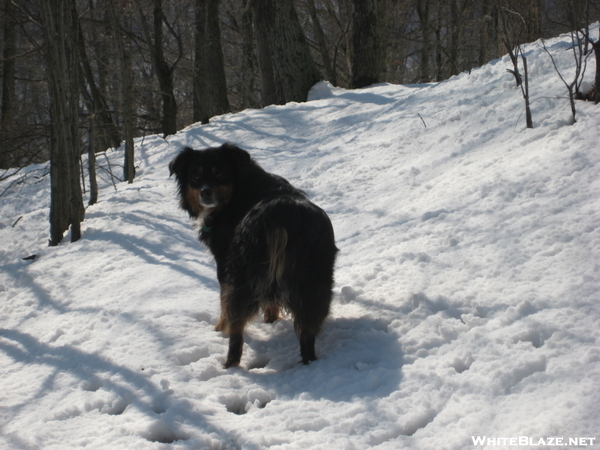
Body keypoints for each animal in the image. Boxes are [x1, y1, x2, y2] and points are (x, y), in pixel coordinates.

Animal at [170, 145, 338, 370]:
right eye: (196, 176)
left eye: (220, 173)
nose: (205, 192)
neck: (238, 192)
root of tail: (279, 215)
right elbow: (270, 302)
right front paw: (271, 320)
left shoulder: (224, 263)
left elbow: (223, 302)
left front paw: (219, 328)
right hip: (314, 281)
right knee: (307, 329)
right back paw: (309, 363)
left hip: (242, 275)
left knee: (236, 331)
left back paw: (230, 365)